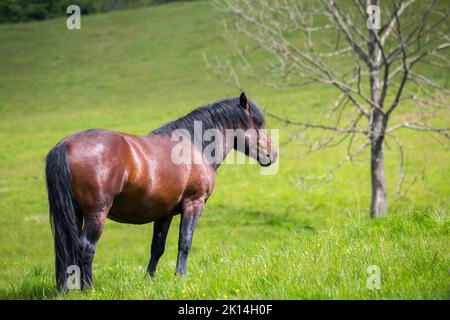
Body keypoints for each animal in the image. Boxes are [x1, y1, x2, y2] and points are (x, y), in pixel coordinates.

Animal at [45, 91, 278, 292]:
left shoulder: (164, 214)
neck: (194, 146)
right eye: (258, 124)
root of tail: (65, 145)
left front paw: (149, 280)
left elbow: (157, 247)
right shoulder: (193, 204)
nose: (272, 154)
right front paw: (181, 277)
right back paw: (89, 288)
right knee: (86, 247)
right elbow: (185, 242)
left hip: (76, 213)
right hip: (96, 213)